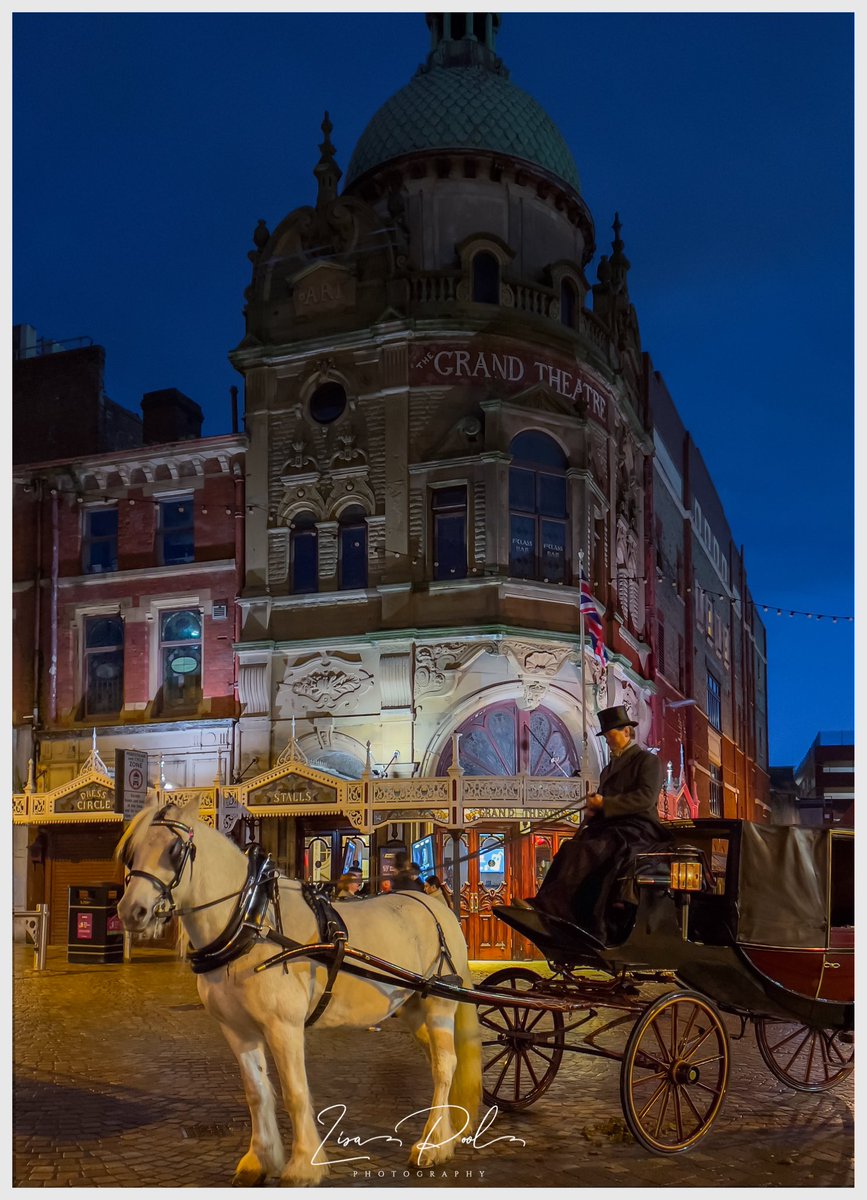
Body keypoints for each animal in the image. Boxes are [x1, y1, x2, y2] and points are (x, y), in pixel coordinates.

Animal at [114, 801, 480, 1185]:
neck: (252, 923)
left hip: (439, 1005)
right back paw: (445, 1137)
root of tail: (435, 907)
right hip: (411, 1008)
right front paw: (259, 1160)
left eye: (175, 850)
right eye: (131, 852)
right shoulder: (237, 1030)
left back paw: (431, 1146)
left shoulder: (283, 1026)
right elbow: (257, 1093)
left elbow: (295, 1092)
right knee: (439, 1063)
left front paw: (304, 1165)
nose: (131, 911)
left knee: (445, 1067)